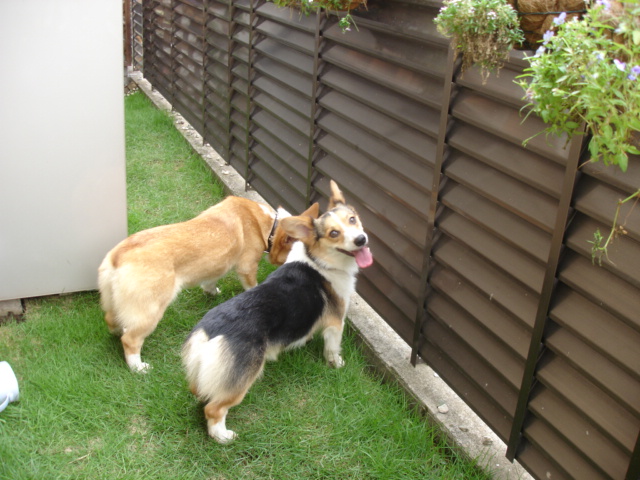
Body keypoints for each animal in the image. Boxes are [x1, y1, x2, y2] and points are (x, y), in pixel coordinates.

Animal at [98, 196, 314, 372]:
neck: (271, 224)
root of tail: (117, 256)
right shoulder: (247, 268)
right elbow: (252, 286)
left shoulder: (216, 267)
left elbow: (210, 283)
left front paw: (213, 292)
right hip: (151, 311)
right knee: (131, 339)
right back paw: (138, 368)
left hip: (114, 302)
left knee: (112, 320)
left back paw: (117, 331)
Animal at [182, 181, 373, 443]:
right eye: (333, 233)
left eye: (352, 219)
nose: (361, 239)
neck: (319, 260)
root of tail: (209, 333)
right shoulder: (336, 323)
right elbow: (333, 348)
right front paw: (337, 364)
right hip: (243, 379)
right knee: (214, 409)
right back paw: (223, 436)